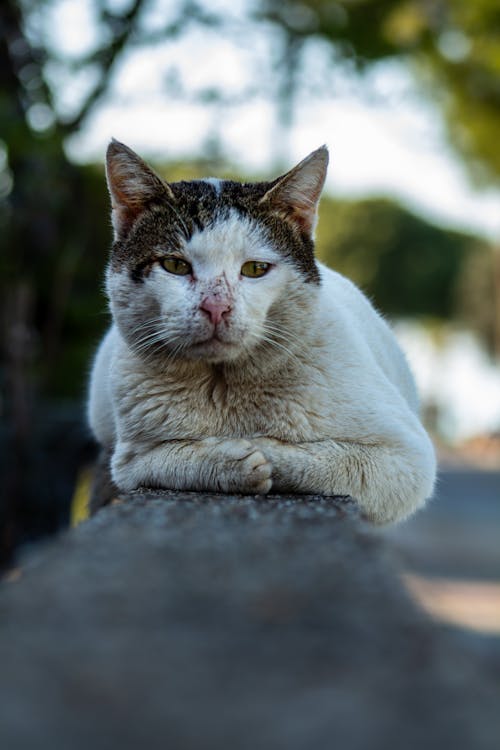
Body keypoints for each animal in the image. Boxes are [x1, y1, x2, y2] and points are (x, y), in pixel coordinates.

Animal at [88, 138, 436, 524]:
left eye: (255, 269)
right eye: (174, 265)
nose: (216, 307)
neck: (223, 386)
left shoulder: (405, 459)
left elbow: (330, 460)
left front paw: (264, 450)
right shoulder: (129, 459)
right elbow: (165, 459)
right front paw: (230, 460)